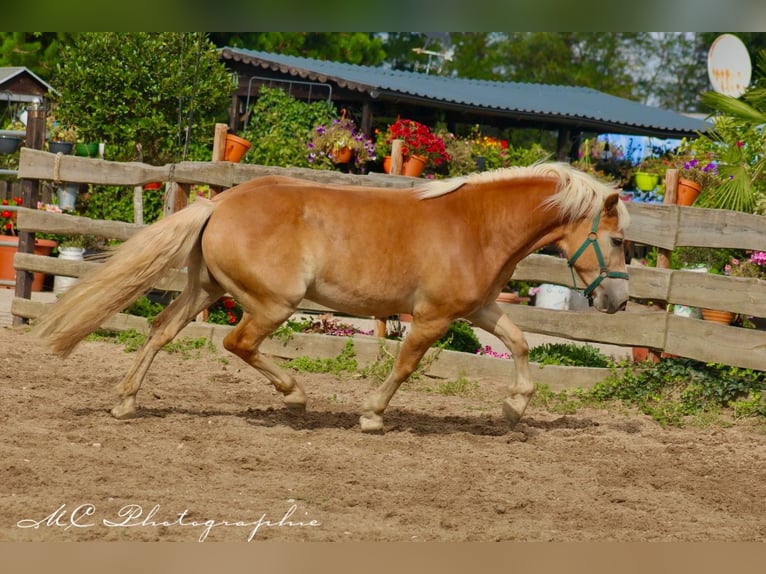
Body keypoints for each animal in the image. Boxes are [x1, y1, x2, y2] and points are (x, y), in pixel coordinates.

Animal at [33, 162, 632, 432]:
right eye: (621, 240)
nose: (620, 302)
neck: (475, 226)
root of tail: (219, 204)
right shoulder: (433, 317)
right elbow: (406, 365)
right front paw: (370, 415)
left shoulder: (479, 308)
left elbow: (521, 342)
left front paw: (514, 405)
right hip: (272, 304)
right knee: (237, 344)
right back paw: (295, 396)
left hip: (206, 289)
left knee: (160, 331)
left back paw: (125, 401)